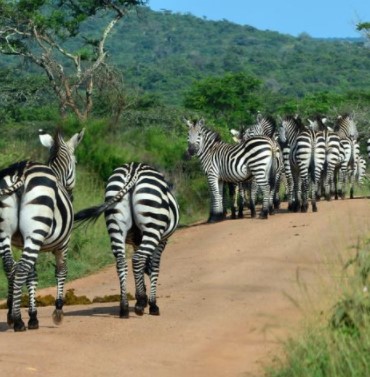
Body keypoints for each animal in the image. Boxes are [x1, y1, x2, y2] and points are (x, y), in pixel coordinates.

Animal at [0, 128, 84, 330]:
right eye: (76, 162)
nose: (72, 195)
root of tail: (20, 172)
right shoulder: (64, 243)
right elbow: (61, 271)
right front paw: (58, 311)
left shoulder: (24, 242)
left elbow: (32, 276)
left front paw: (33, 316)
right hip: (35, 232)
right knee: (20, 268)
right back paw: (17, 320)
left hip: (5, 233)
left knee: (10, 267)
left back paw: (11, 314)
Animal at [73, 162, 179, 318]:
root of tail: (133, 170)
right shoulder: (162, 241)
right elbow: (154, 267)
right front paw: (151, 304)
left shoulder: (136, 241)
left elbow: (144, 267)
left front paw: (142, 297)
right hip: (152, 225)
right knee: (138, 259)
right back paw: (140, 305)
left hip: (115, 223)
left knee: (122, 263)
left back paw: (124, 307)